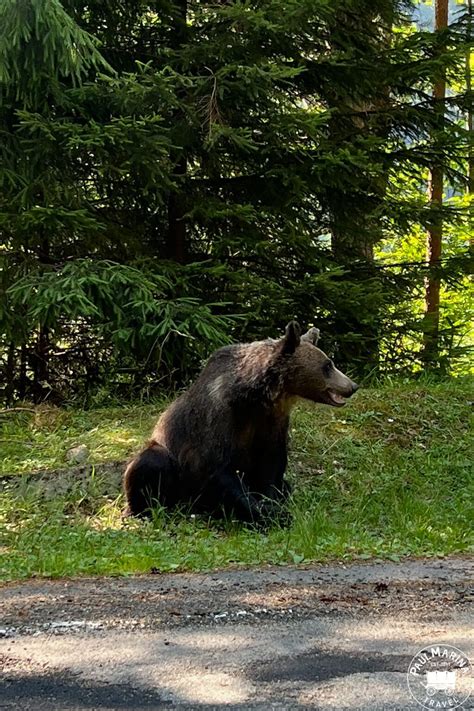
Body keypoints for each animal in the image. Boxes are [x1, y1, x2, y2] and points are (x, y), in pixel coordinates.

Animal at [123, 321, 359, 524]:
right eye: (328, 365)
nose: (352, 385)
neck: (256, 397)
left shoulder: (273, 421)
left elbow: (271, 465)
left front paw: (273, 504)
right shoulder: (219, 418)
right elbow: (217, 468)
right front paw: (271, 514)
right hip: (173, 466)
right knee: (151, 463)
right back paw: (143, 510)